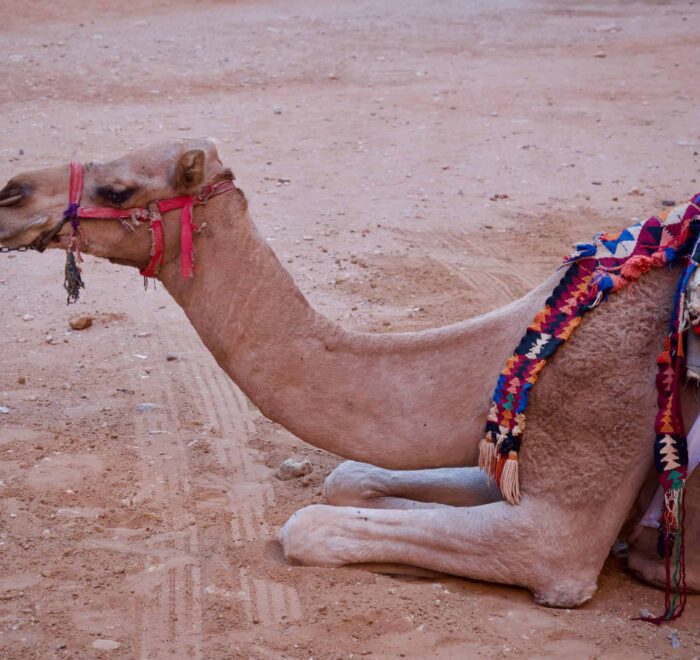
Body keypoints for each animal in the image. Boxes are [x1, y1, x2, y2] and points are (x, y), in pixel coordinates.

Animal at [0, 138, 697, 612]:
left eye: (117, 190)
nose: (10, 193)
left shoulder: (570, 507)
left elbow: (307, 525)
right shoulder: (505, 448)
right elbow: (348, 478)